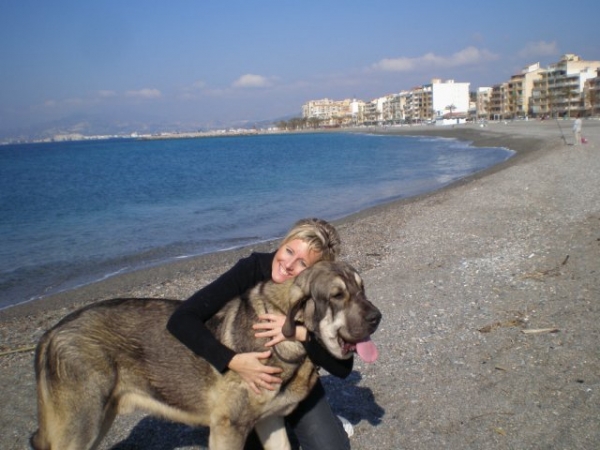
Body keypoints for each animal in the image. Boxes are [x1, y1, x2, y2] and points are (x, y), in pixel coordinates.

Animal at [30, 260, 382, 450]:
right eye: (337, 296)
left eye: (362, 288)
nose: (377, 317)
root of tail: (51, 333)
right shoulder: (228, 428)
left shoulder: (270, 422)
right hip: (82, 427)